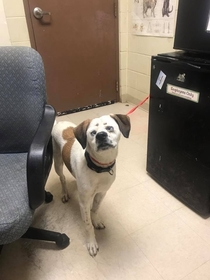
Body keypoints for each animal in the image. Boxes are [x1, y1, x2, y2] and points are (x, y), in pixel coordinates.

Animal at [51, 114, 130, 256]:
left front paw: (96, 221)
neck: (99, 168)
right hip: (57, 162)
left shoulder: (102, 193)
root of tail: (59, 123)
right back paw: (64, 193)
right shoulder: (84, 203)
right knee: (62, 178)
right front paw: (92, 243)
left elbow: (95, 209)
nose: (101, 135)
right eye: (93, 133)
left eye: (109, 128)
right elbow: (88, 225)